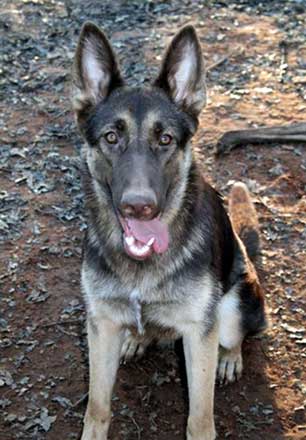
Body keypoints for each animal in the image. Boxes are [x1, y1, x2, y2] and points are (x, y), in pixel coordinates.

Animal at [71, 21, 266, 440]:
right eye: (111, 137)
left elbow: (200, 418)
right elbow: (97, 408)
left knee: (236, 336)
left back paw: (229, 357)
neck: (142, 266)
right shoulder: (101, 327)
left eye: (166, 140)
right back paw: (136, 338)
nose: (139, 205)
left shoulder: (199, 334)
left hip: (232, 308)